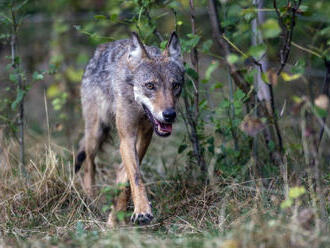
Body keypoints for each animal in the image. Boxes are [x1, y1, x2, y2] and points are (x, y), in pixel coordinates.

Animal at [73, 31, 184, 227]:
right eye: (150, 86)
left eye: (175, 85)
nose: (169, 114)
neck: (138, 108)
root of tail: (97, 53)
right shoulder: (127, 138)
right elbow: (136, 177)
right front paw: (142, 211)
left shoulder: (144, 137)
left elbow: (128, 178)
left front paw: (119, 214)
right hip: (95, 132)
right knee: (88, 164)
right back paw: (92, 201)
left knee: (118, 171)